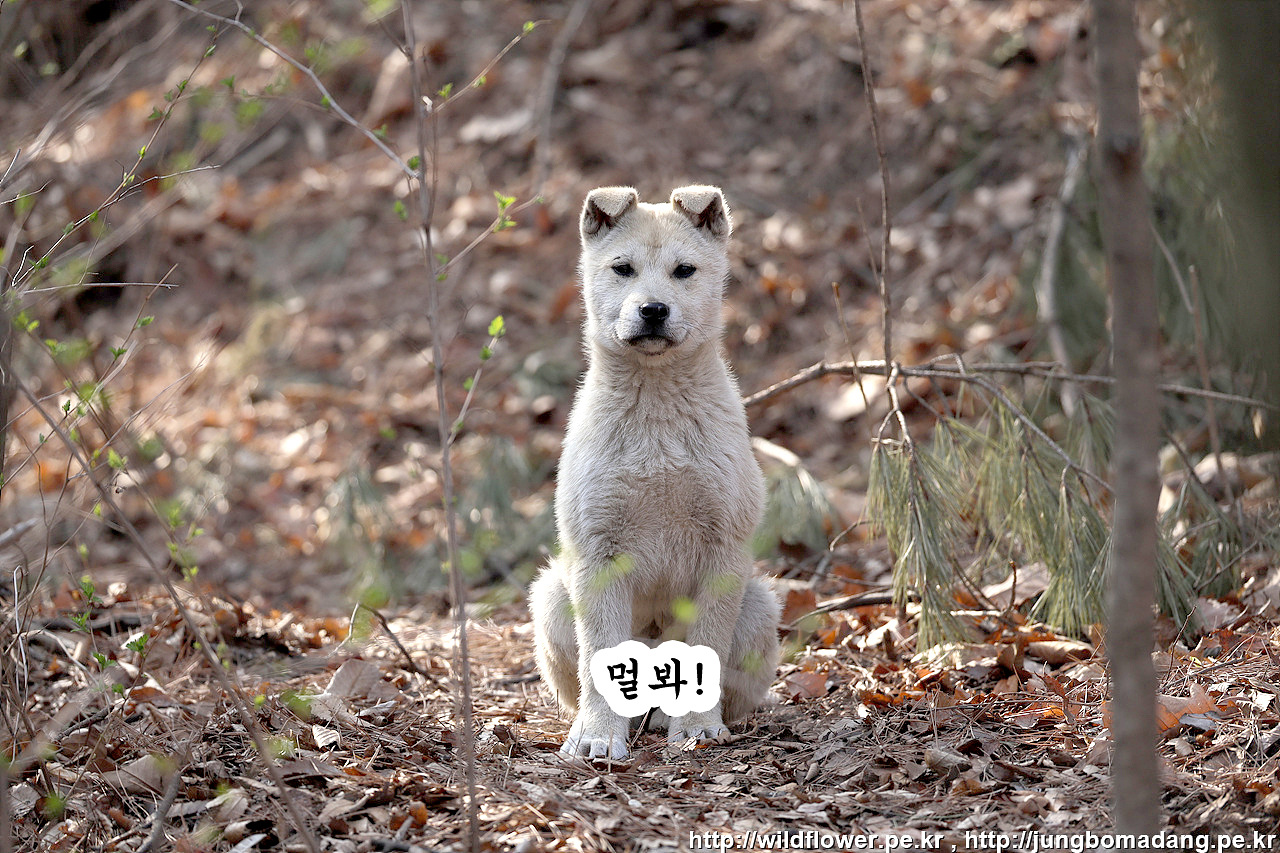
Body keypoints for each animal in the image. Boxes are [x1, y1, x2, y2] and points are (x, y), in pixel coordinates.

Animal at [529, 185, 781, 760]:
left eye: (684, 271)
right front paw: (598, 737)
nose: (653, 309)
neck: (657, 415)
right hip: (552, 594)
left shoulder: (722, 548)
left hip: (759, 605)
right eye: (622, 268)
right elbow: (597, 655)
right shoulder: (597, 551)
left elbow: (707, 641)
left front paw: (698, 727)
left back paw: (670, 718)